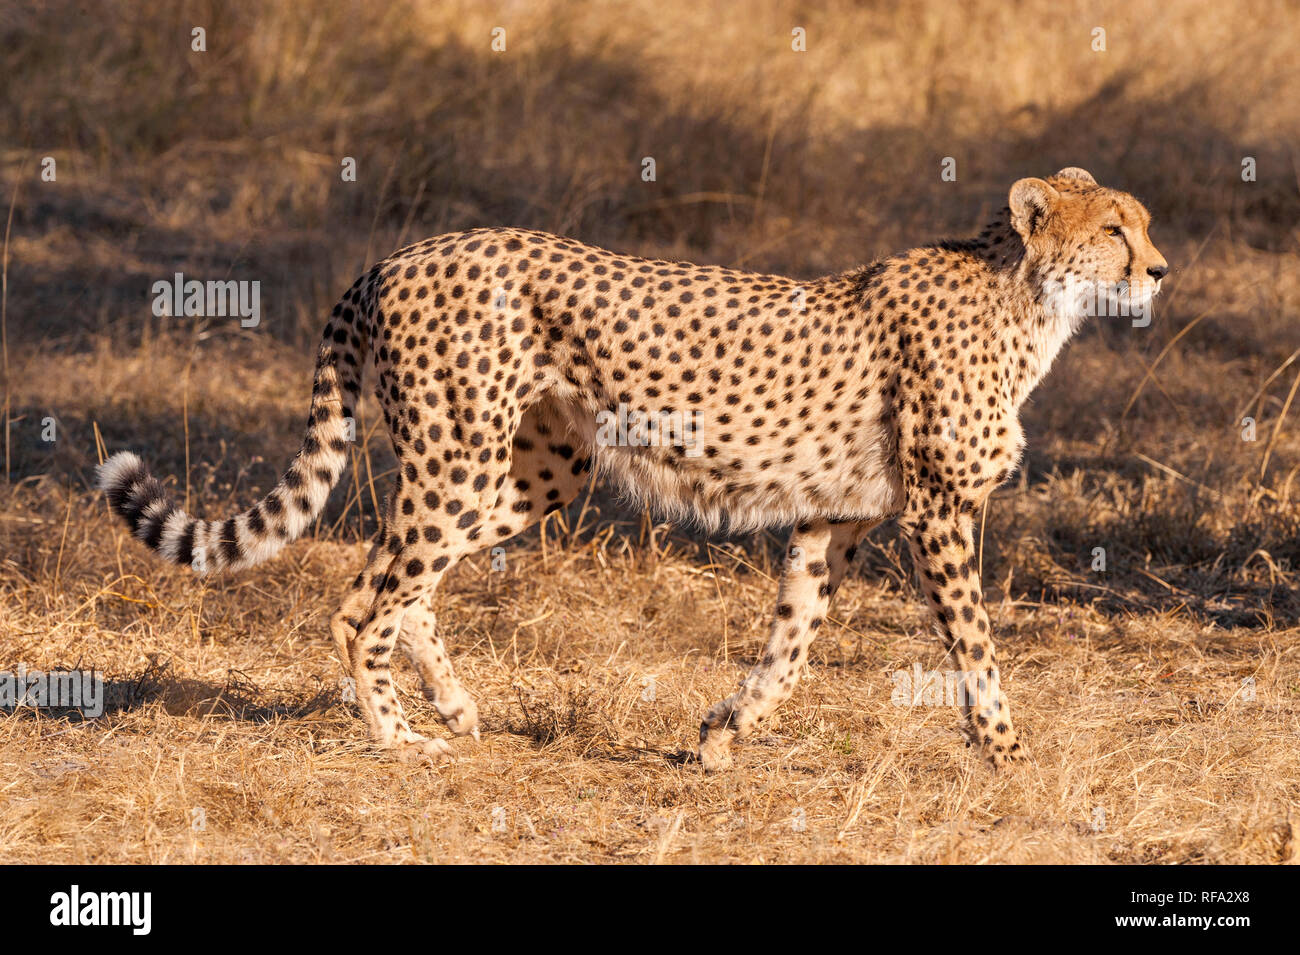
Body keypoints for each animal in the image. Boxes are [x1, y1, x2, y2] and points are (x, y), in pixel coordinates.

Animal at [96, 167, 1164, 774]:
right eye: (1116, 229)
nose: (1158, 270)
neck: (1029, 299)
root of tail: (400, 254)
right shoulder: (939, 510)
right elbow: (976, 644)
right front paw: (1007, 751)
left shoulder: (834, 520)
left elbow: (792, 641)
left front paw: (726, 732)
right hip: (458, 457)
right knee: (366, 601)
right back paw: (396, 737)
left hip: (532, 472)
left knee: (401, 586)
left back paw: (452, 707)